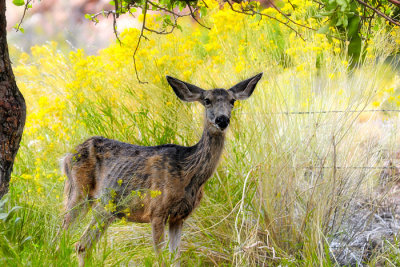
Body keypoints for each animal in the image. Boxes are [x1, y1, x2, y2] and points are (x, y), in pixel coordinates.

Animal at [60, 73, 262, 266]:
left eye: (232, 101)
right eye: (207, 100)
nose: (222, 120)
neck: (188, 171)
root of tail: (66, 157)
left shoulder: (179, 217)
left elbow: (175, 259)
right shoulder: (156, 211)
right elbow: (162, 259)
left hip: (107, 208)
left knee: (82, 245)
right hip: (79, 193)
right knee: (62, 237)